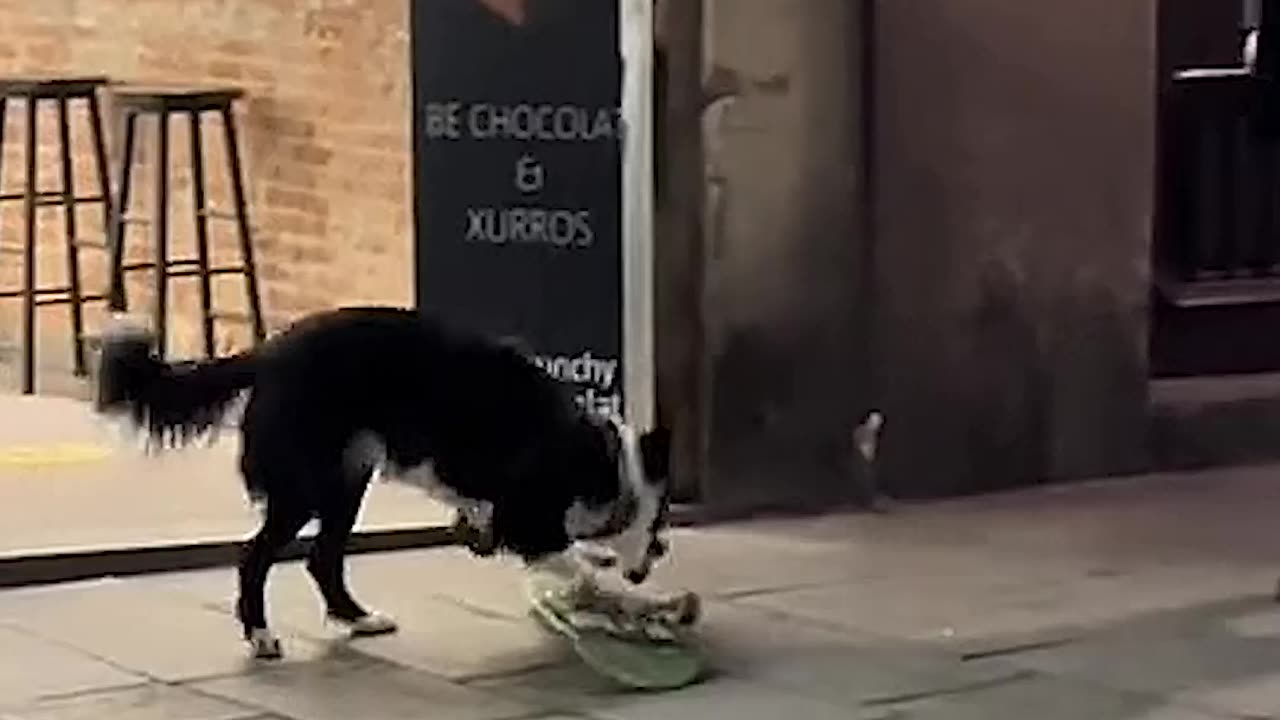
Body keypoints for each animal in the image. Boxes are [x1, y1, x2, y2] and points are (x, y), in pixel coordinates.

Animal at [94, 302, 675, 655]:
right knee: (254, 558)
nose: (645, 570)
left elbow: (571, 555)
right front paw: (611, 595)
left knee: (322, 558)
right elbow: (575, 567)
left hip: (346, 480)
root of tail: (272, 350)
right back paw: (261, 636)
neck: (605, 463)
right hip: (305, 486)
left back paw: (357, 619)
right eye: (657, 528)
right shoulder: (521, 520)